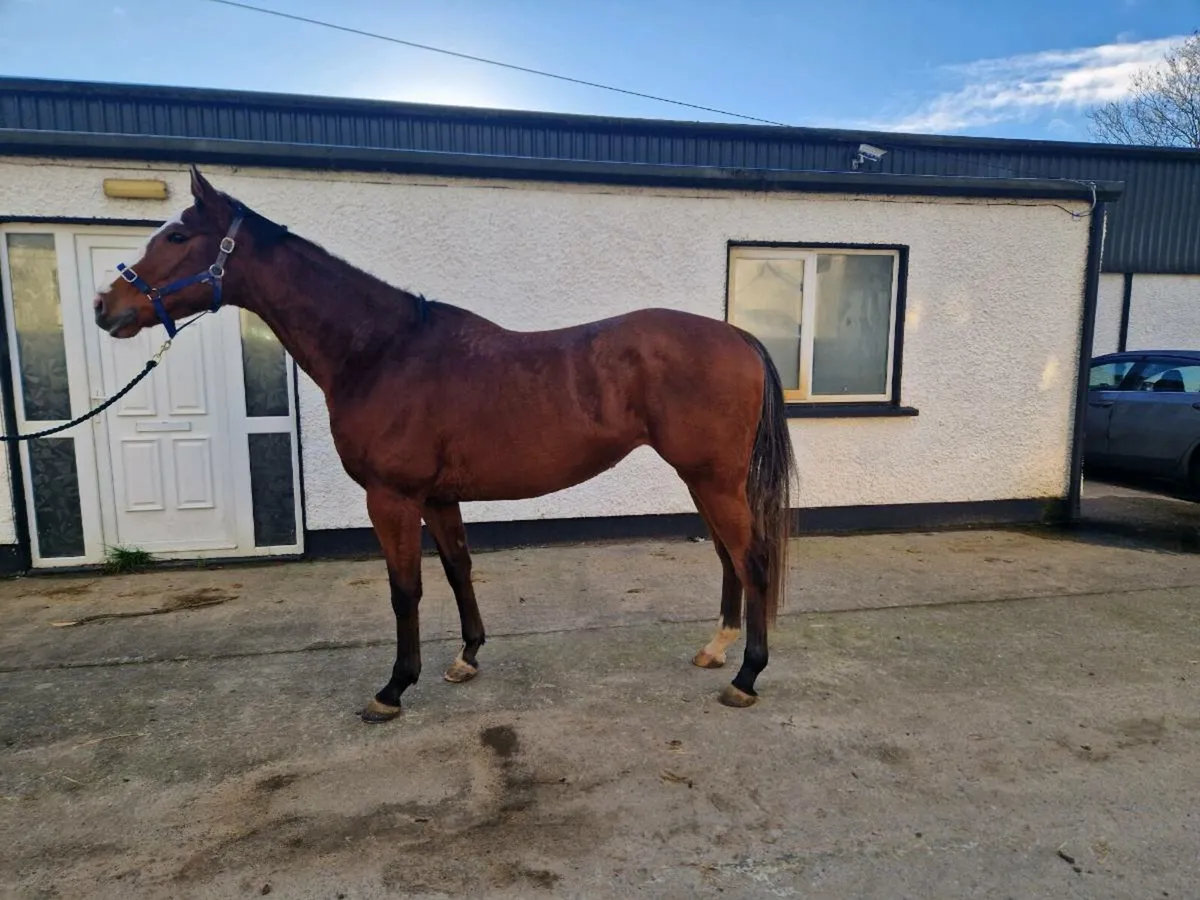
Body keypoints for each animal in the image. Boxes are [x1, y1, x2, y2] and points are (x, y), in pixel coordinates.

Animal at [93, 166, 797, 723]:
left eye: (177, 236)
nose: (106, 305)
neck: (382, 351)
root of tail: (739, 336)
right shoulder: (437, 497)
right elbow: (458, 567)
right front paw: (466, 657)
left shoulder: (391, 498)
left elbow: (405, 589)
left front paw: (393, 689)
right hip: (702, 479)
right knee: (730, 559)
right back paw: (716, 650)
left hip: (711, 477)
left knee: (754, 559)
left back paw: (746, 677)